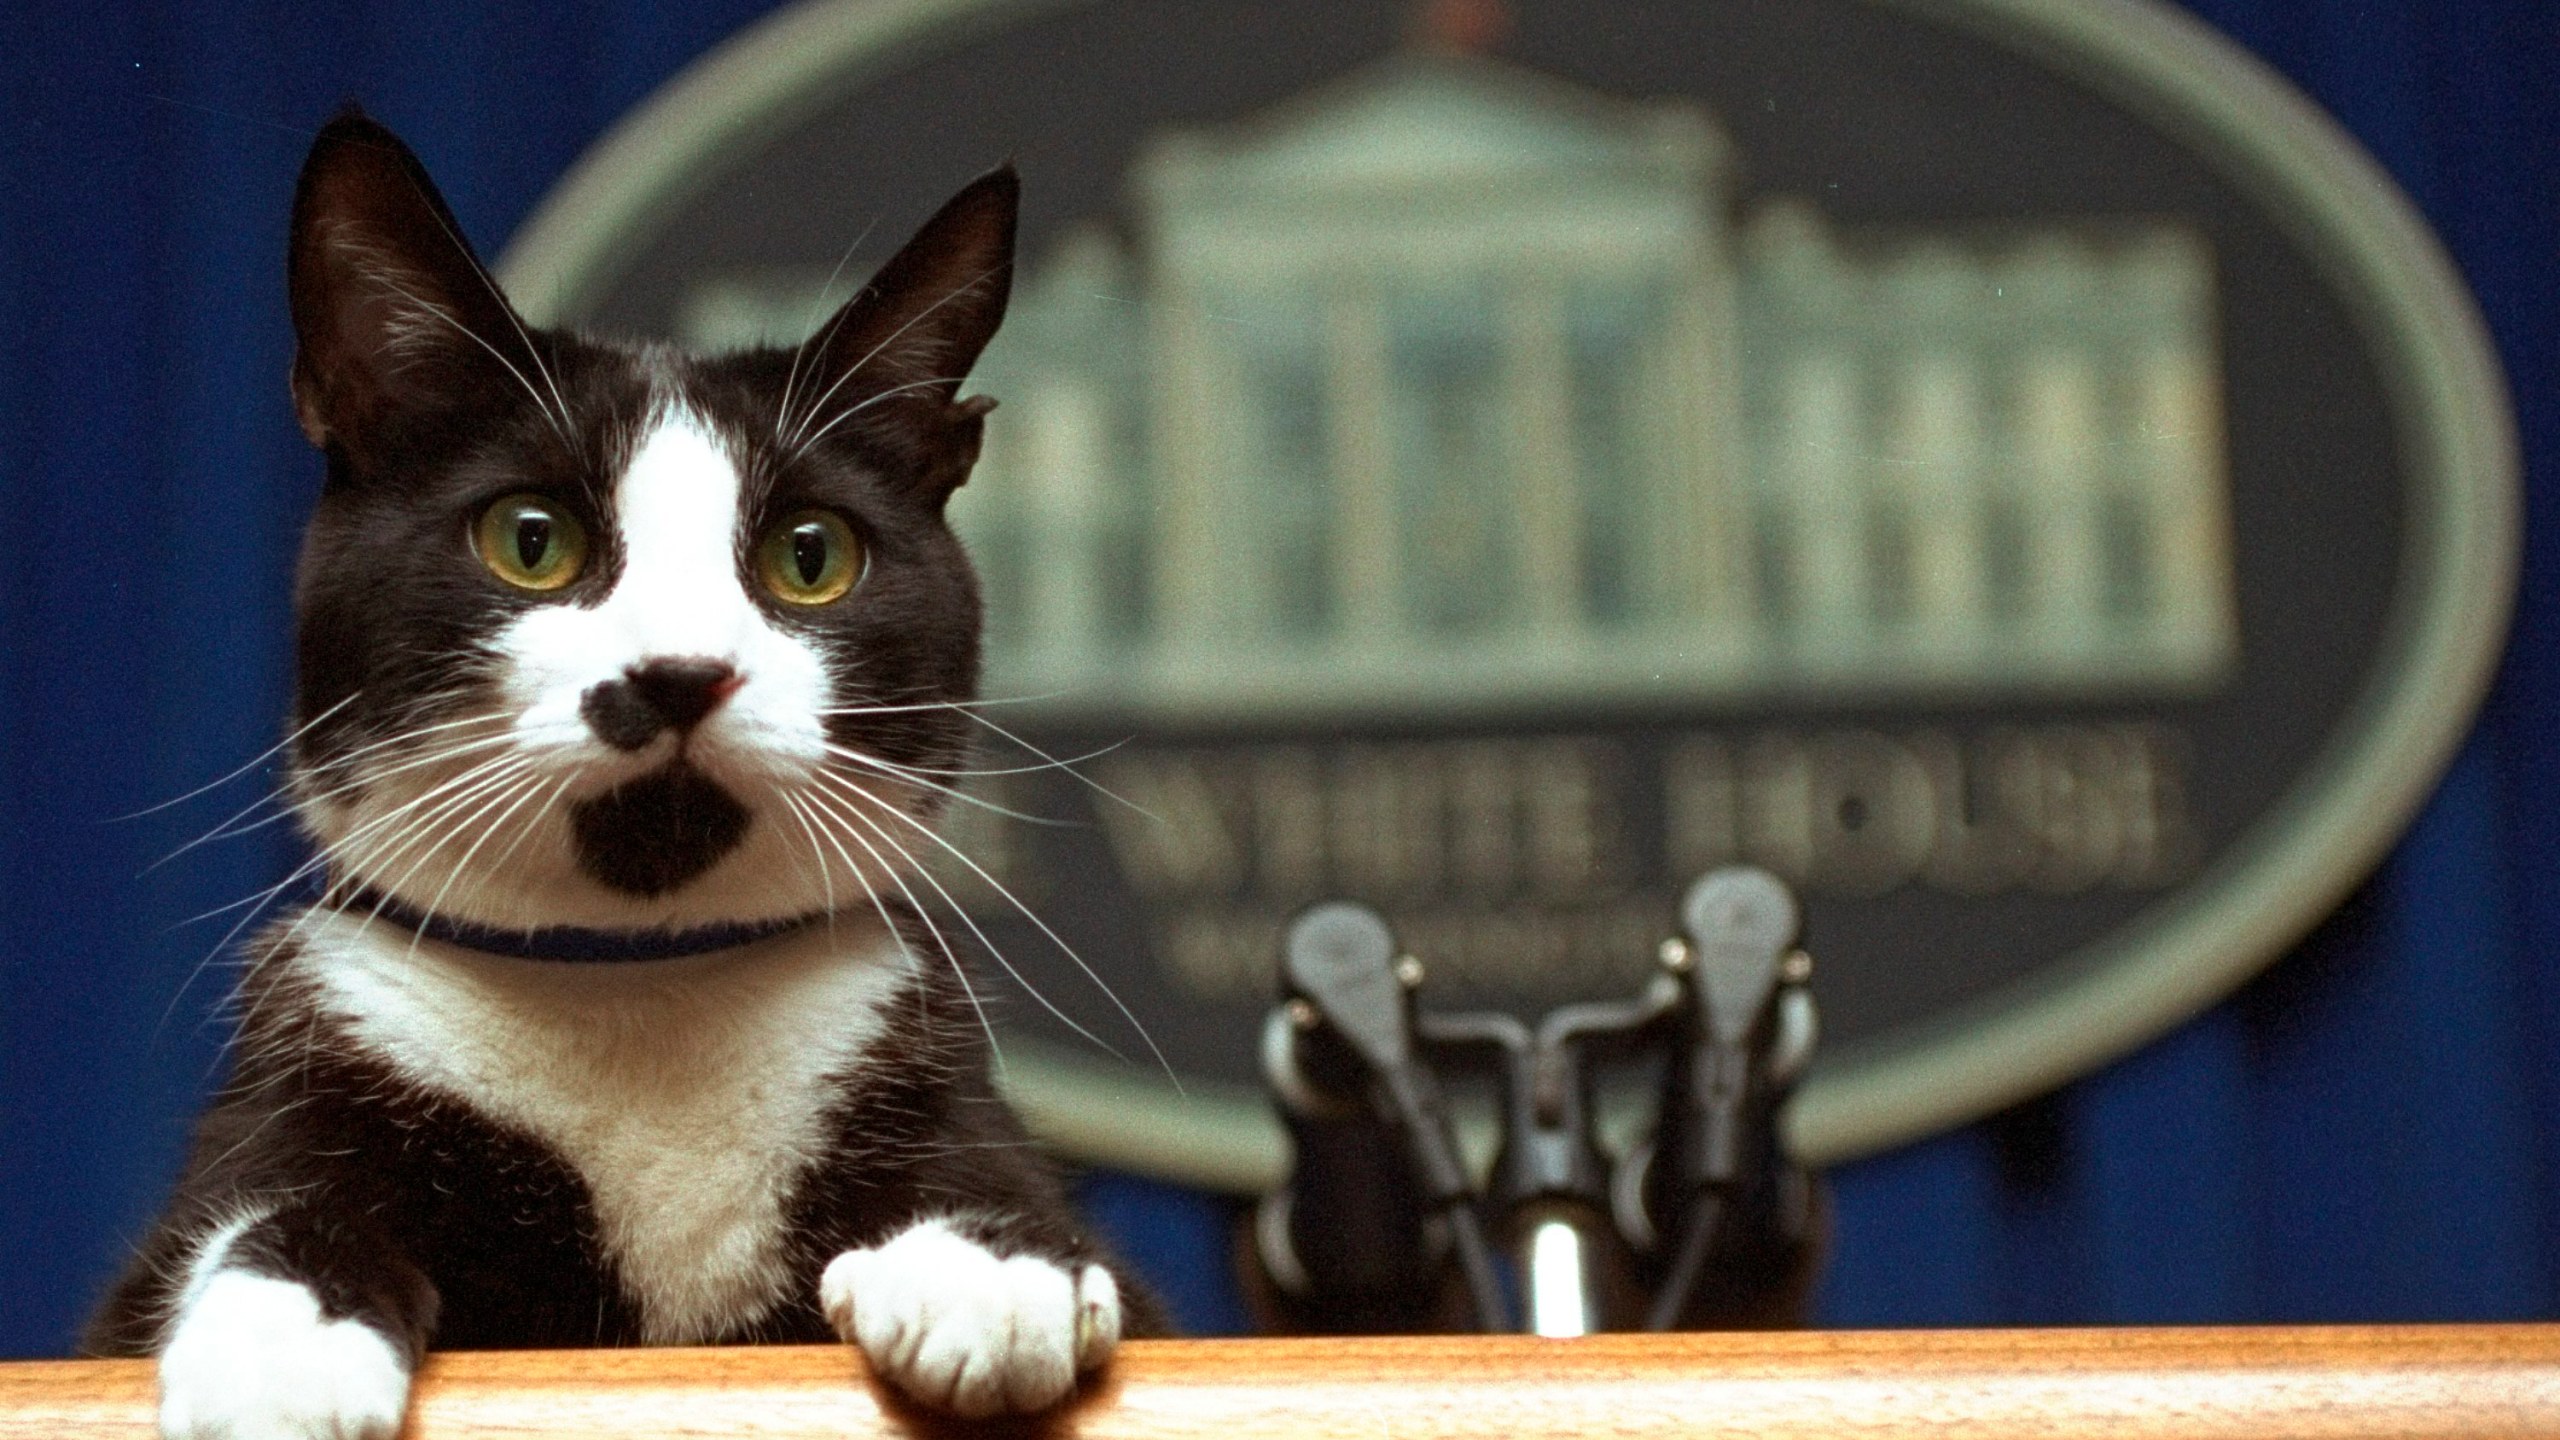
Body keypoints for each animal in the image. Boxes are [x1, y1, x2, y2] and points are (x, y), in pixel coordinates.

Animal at [80, 106, 1162, 1424]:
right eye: (530, 539)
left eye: (812, 555)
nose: (681, 672)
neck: (638, 987)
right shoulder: (288, 1099)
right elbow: (268, 1216)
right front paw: (283, 1352)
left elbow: (1009, 1200)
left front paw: (988, 1270)